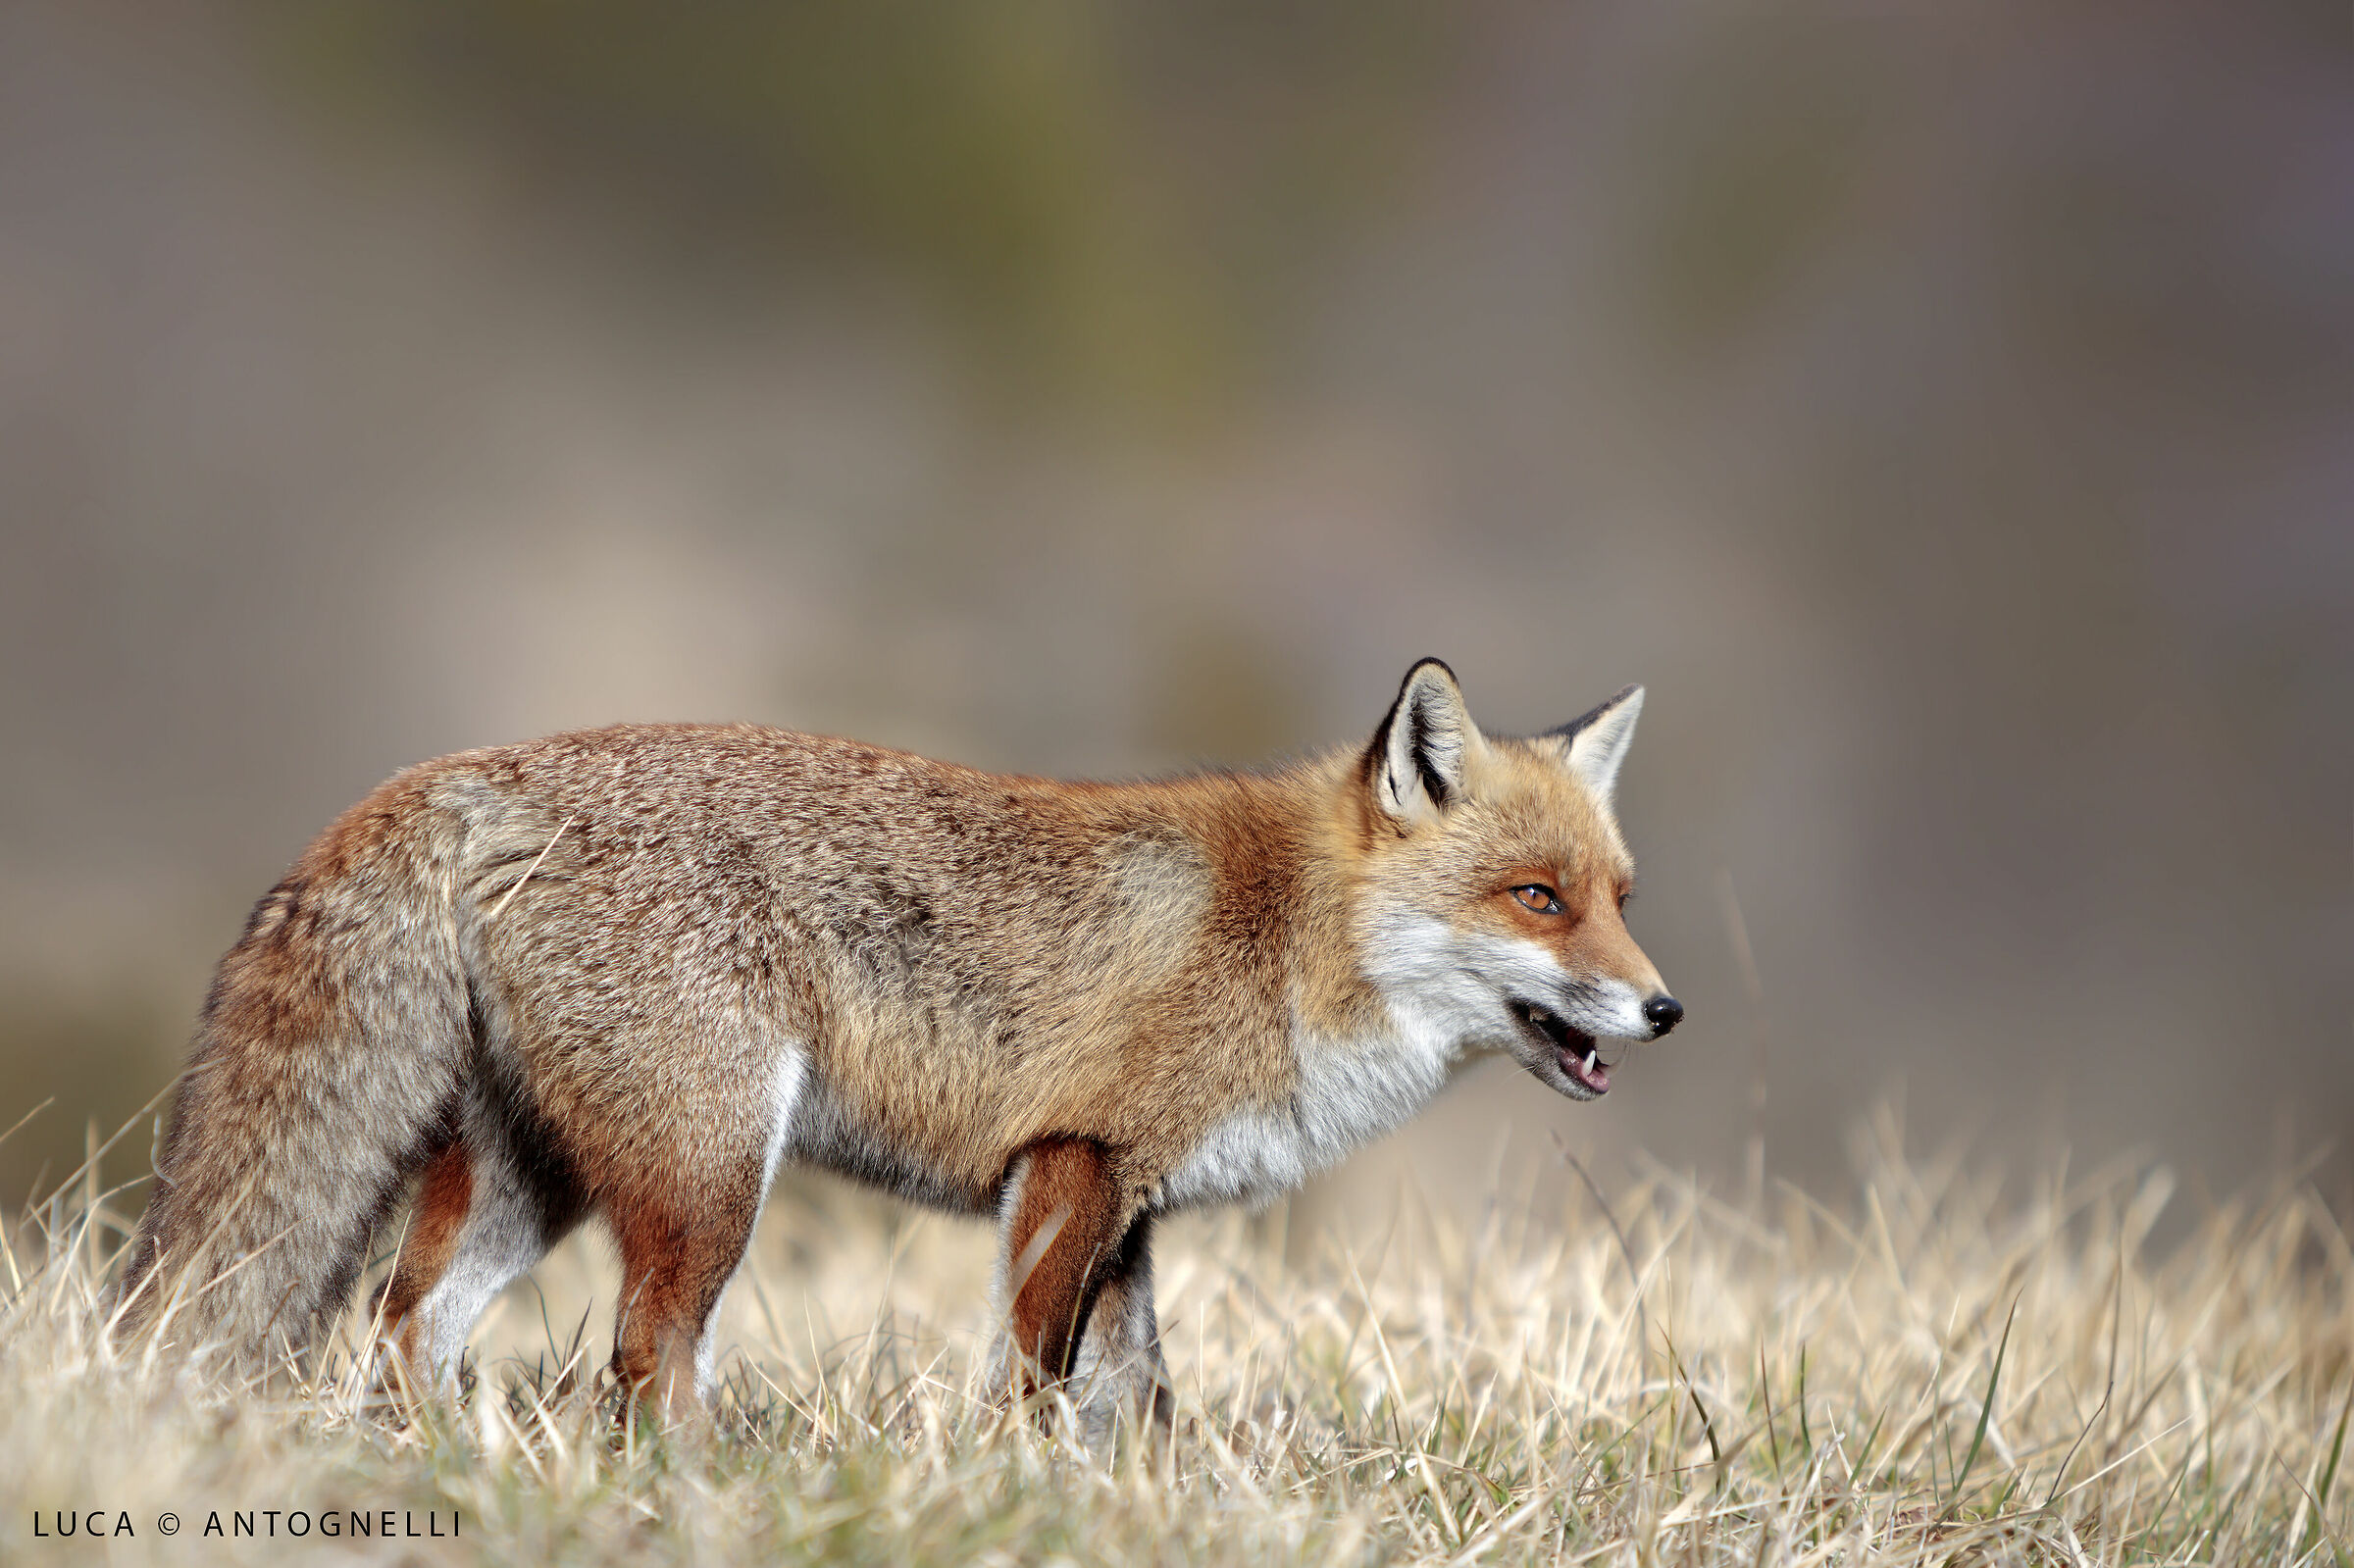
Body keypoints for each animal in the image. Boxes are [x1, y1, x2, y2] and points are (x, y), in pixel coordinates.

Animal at [114, 658, 1680, 1435]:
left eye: (1621, 898)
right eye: (1537, 899)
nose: (1666, 1010)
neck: (1284, 938)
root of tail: (468, 768)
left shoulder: (1131, 1209)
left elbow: (1136, 1406)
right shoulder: (1072, 1163)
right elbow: (1031, 1384)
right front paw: (1011, 1497)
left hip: (529, 1183)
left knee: (404, 1329)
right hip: (709, 1176)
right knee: (644, 1355)